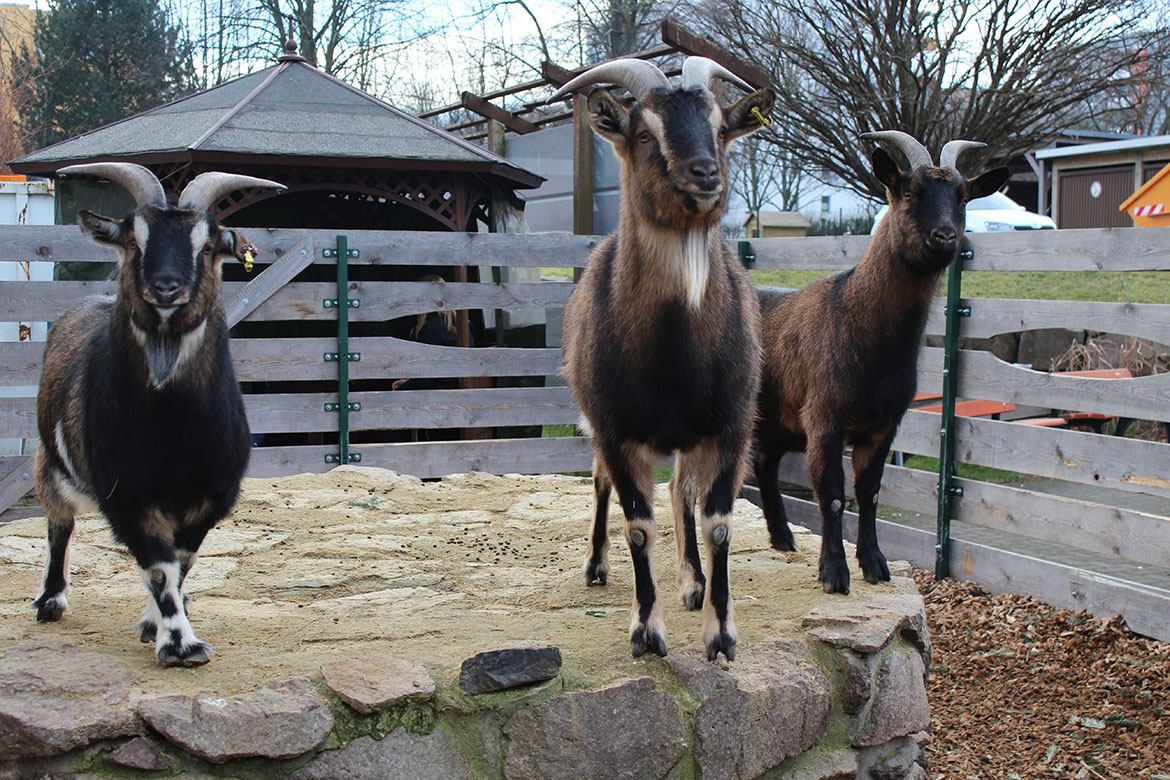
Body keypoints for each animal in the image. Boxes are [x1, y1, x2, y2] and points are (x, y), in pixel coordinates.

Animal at [556, 57, 776, 664]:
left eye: (721, 128)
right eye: (644, 132)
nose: (704, 173)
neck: (674, 362)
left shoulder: (732, 425)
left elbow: (718, 523)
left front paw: (720, 634)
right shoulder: (615, 428)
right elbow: (637, 525)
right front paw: (646, 633)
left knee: (683, 492)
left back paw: (693, 583)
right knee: (601, 483)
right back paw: (596, 567)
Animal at [753, 134, 1010, 594]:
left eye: (963, 197)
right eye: (908, 192)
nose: (945, 237)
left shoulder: (884, 426)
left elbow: (870, 493)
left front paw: (874, 565)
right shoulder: (824, 420)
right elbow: (833, 495)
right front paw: (834, 574)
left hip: (779, 420)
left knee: (764, 462)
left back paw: (782, 538)